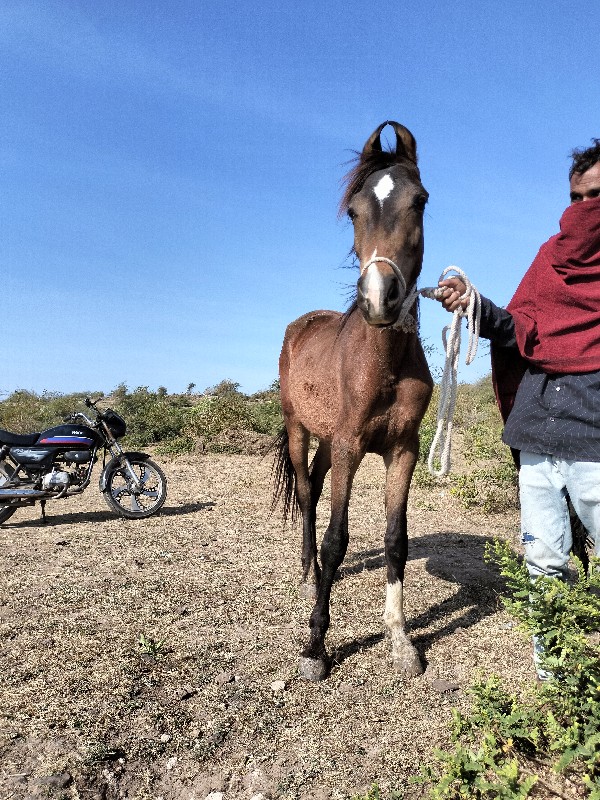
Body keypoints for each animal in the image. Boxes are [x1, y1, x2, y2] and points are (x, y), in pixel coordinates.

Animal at [274, 120, 434, 680]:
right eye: (354, 211)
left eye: (420, 201)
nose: (380, 299)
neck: (383, 363)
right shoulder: (349, 448)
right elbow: (336, 538)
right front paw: (316, 646)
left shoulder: (401, 450)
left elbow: (395, 540)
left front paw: (400, 640)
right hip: (301, 431)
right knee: (306, 496)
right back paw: (308, 575)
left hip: (327, 441)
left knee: (315, 486)